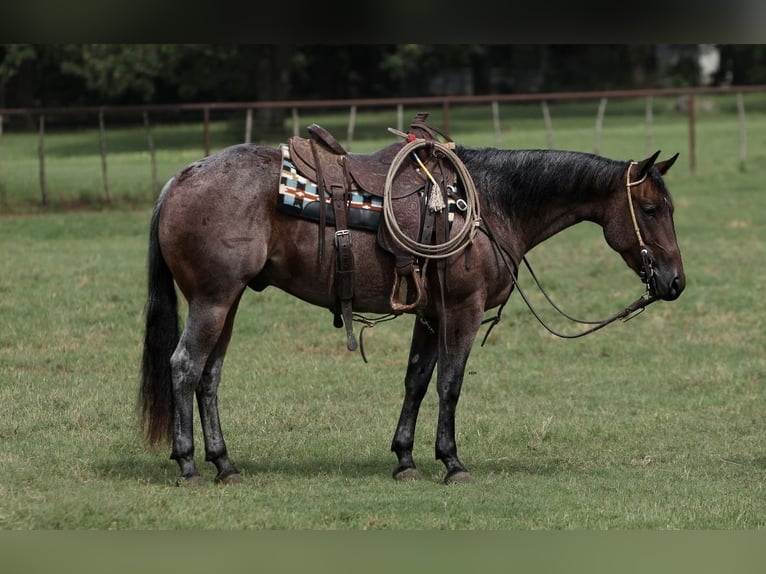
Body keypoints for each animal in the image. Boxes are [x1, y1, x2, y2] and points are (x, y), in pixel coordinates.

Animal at [141, 117, 688, 486]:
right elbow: (450, 384)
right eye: (650, 208)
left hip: (228, 302)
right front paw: (451, 461)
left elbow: (417, 382)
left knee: (210, 376)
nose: (675, 282)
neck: (490, 203)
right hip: (213, 300)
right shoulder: (462, 311)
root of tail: (179, 179)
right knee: (185, 366)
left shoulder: (429, 314)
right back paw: (188, 463)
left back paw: (224, 463)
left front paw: (405, 459)